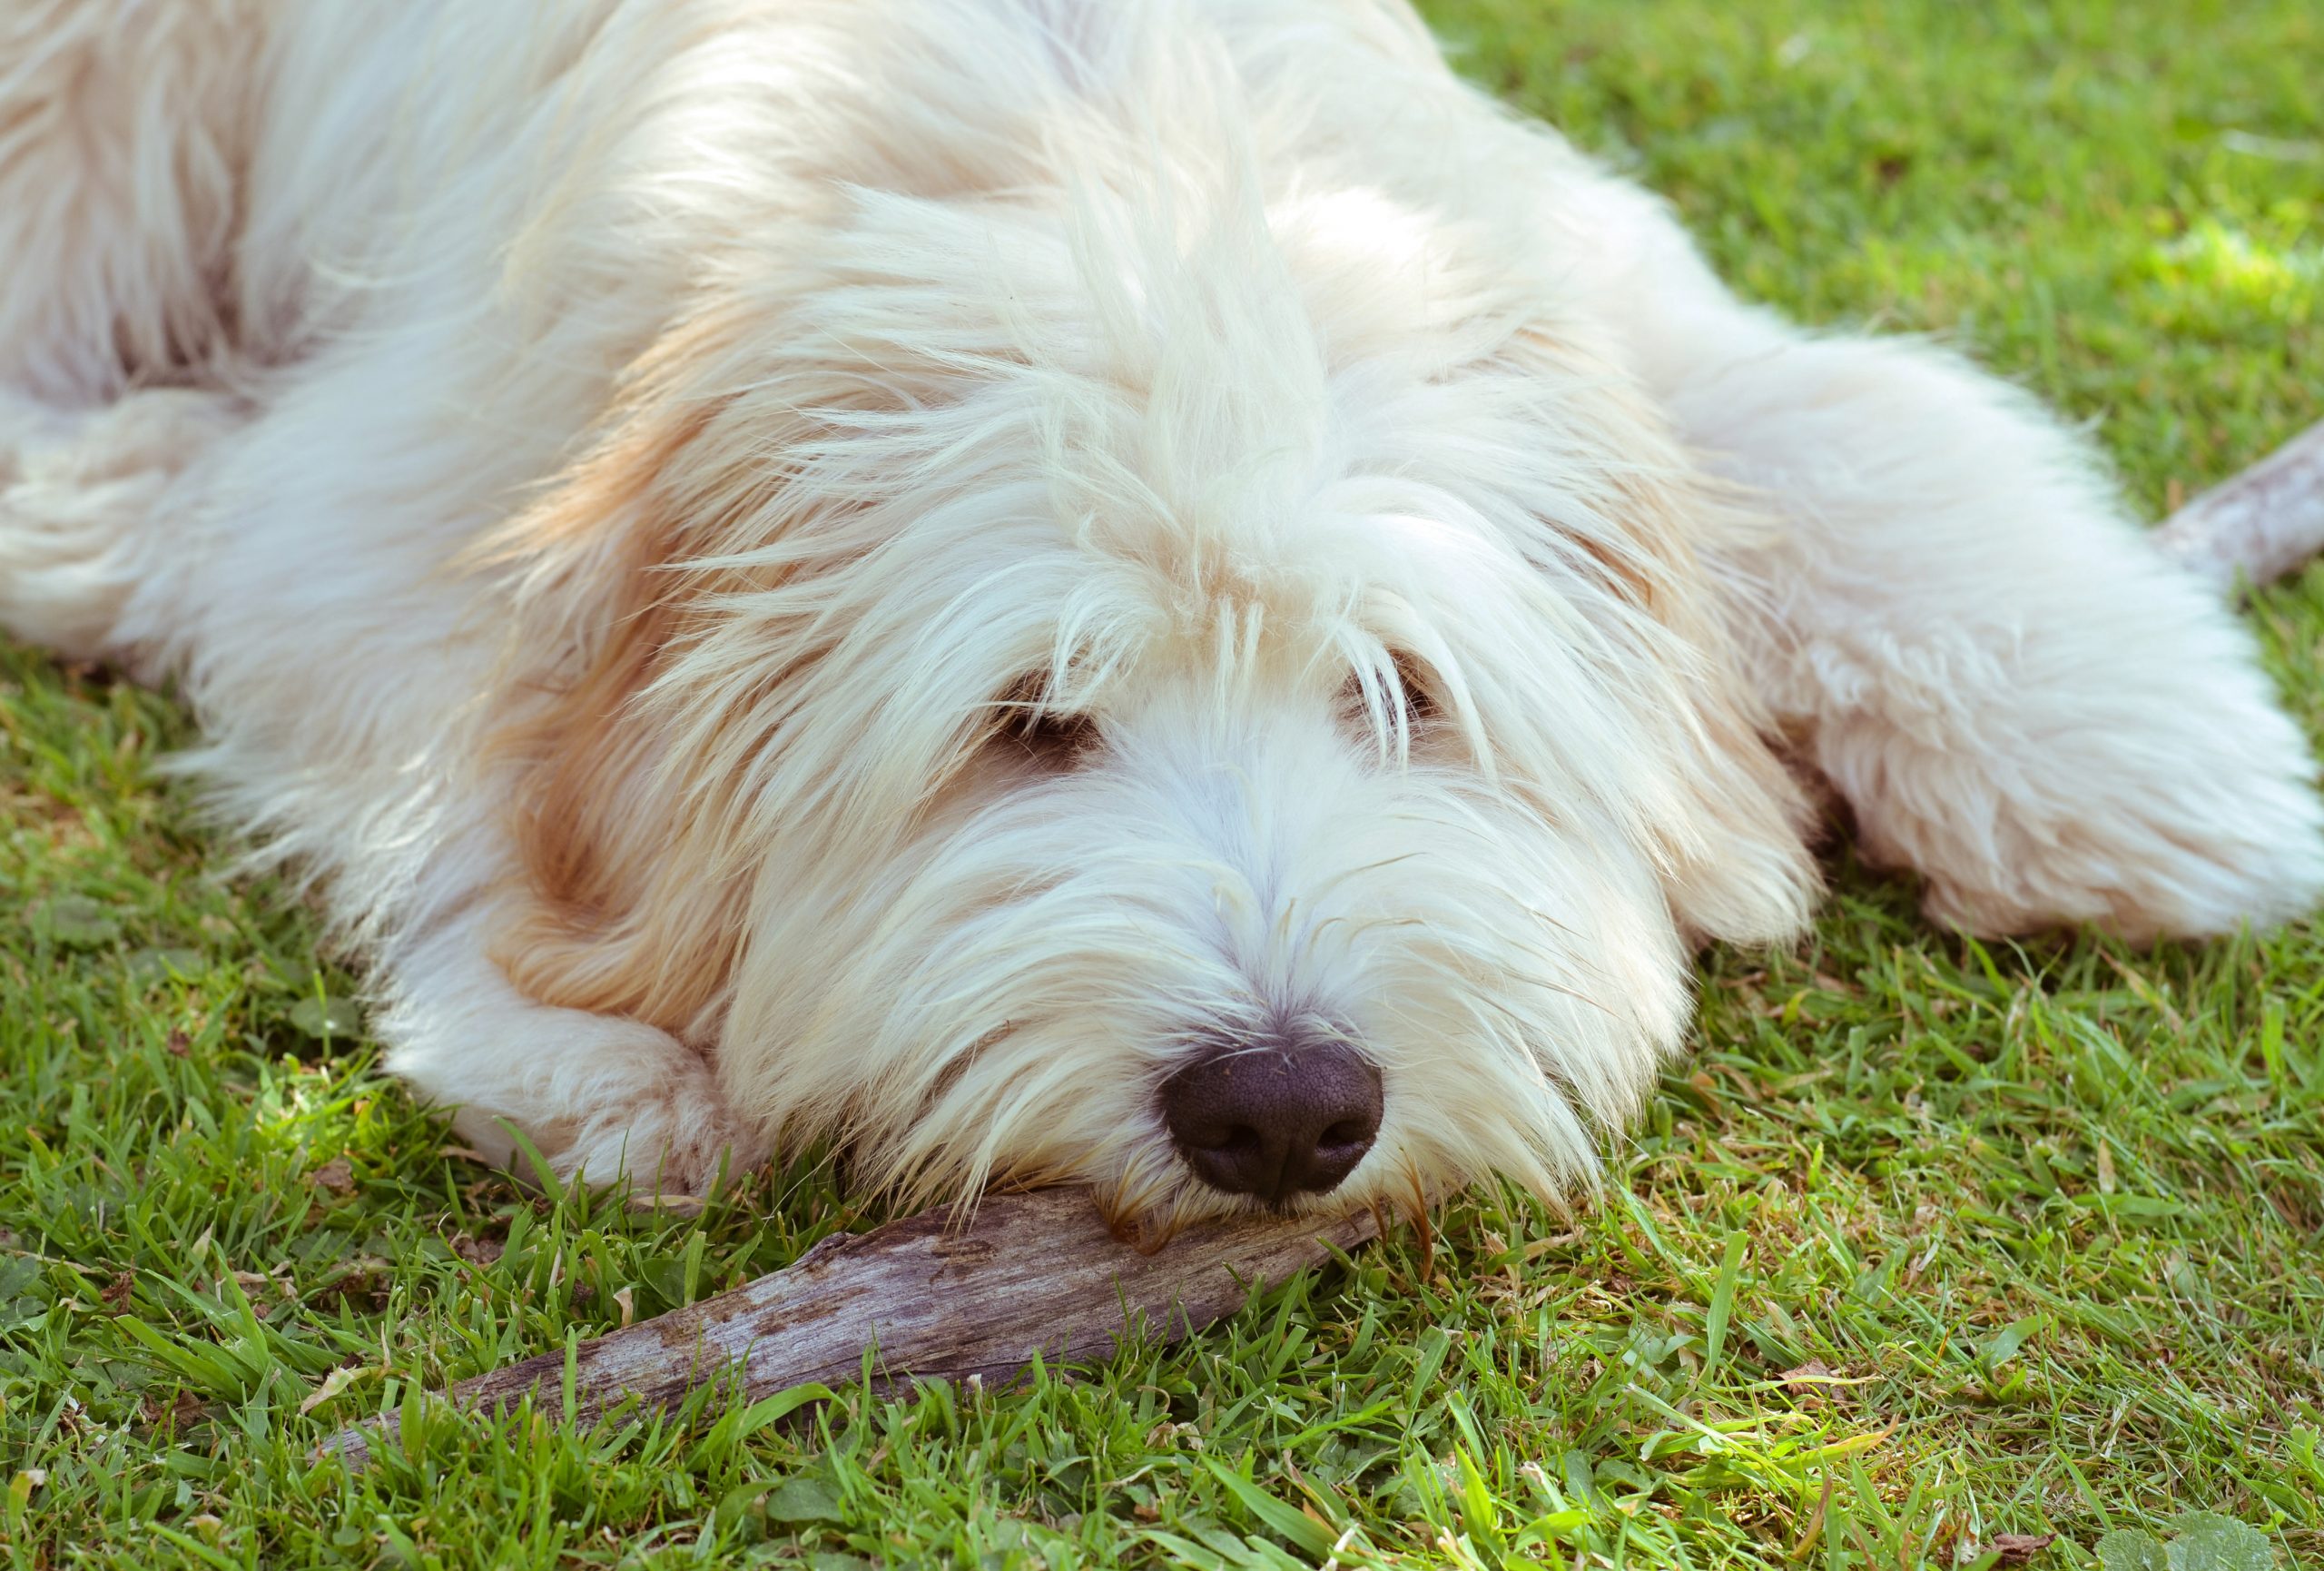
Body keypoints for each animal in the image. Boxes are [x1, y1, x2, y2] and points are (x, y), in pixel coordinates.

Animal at [5, 0, 2324, 1236]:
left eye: (1398, 695)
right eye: (1028, 721)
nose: (1284, 1114)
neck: (1109, 163)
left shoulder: (1567, 291)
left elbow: (1840, 416)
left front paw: (2142, 753)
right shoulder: (399, 482)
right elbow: (443, 706)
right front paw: (574, 1034)